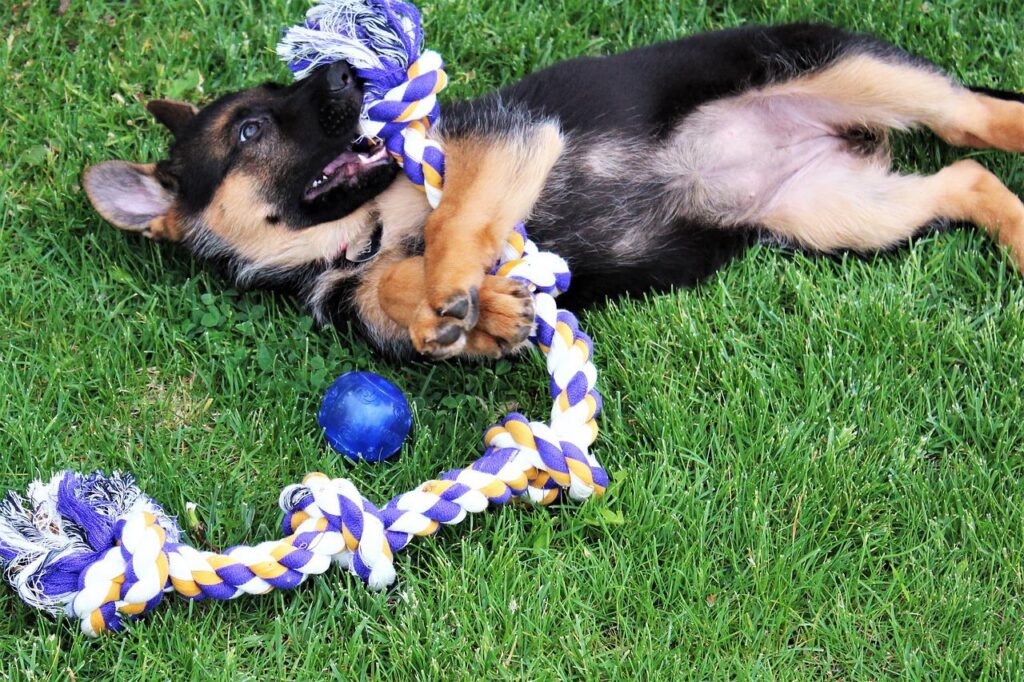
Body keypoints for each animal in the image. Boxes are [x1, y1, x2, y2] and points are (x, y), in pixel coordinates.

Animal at [83, 23, 1024, 358]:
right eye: (248, 130)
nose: (349, 73)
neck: (358, 232)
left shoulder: (507, 140)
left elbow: (455, 223)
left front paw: (457, 288)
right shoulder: (359, 283)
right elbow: (393, 297)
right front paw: (468, 315)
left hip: (844, 70)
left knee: (975, 122)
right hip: (836, 211)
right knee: (966, 177)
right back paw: (1016, 232)